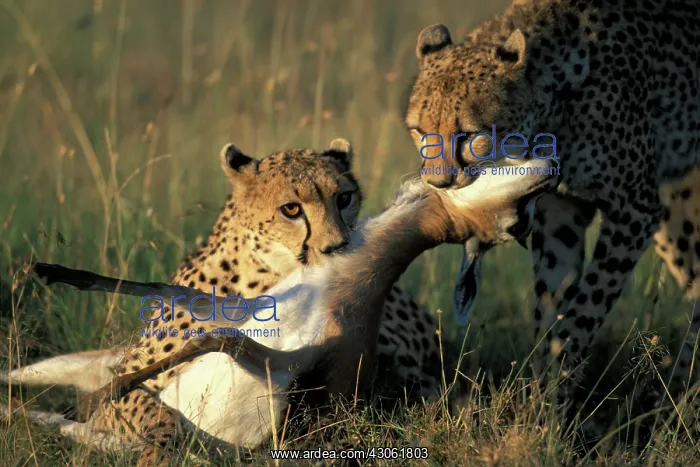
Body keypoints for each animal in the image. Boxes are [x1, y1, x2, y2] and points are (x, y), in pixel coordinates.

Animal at [404, 0, 700, 406]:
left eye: (470, 135)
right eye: (420, 130)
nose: (438, 183)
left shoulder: (634, 209)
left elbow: (585, 309)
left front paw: (555, 393)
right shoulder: (561, 211)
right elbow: (551, 304)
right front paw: (542, 400)